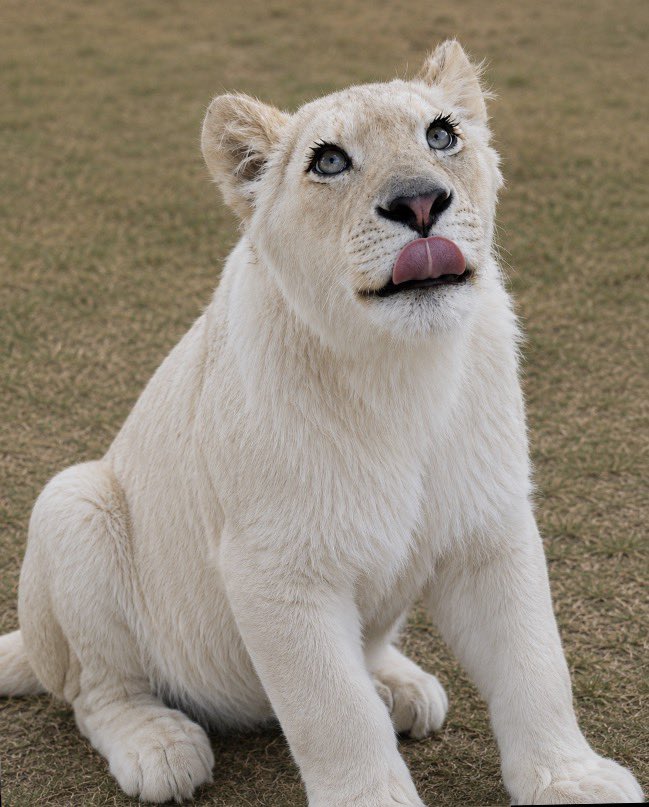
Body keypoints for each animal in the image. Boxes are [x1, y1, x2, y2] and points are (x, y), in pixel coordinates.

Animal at [0, 41, 642, 805]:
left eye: (441, 135)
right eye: (329, 160)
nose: (419, 201)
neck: (403, 372)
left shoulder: (489, 526)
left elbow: (535, 661)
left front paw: (571, 778)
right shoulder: (276, 569)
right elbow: (333, 712)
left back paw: (399, 685)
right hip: (73, 503)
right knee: (97, 691)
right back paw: (158, 745)